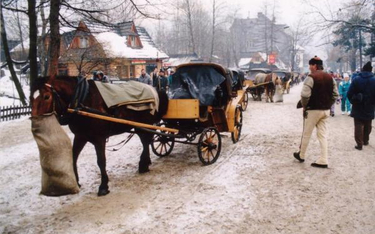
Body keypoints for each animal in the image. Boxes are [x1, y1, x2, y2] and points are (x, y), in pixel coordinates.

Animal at [30, 76, 169, 196]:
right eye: (31, 97)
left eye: (46, 96)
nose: (34, 122)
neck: (82, 101)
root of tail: (154, 89)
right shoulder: (80, 136)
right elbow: (73, 157)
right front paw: (76, 182)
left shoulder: (99, 139)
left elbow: (101, 161)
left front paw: (103, 186)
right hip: (140, 127)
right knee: (147, 142)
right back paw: (146, 162)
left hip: (144, 125)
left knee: (145, 142)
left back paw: (143, 165)